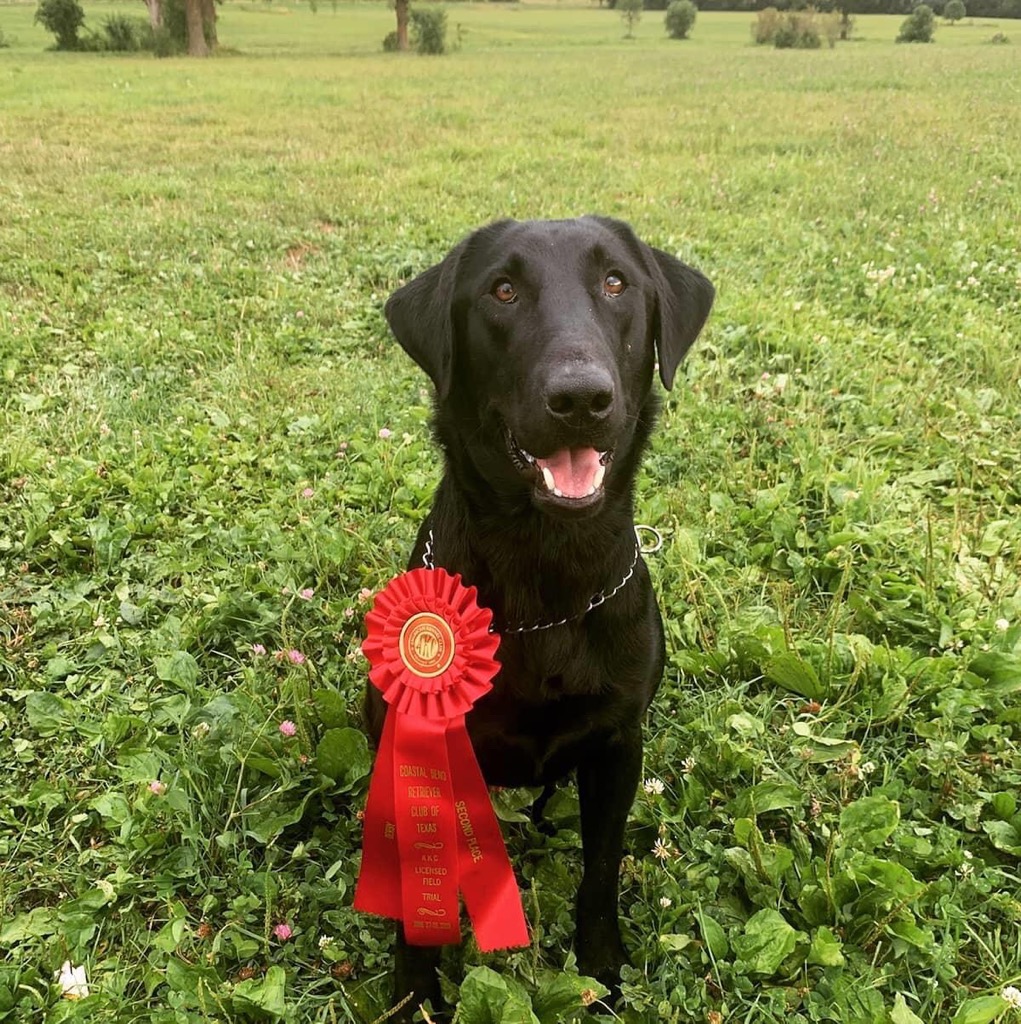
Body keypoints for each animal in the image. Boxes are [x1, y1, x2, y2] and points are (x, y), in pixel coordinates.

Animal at [364, 216, 708, 1015]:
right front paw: (413, 991)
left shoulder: (617, 745)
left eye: (616, 282)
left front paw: (601, 969)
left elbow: (600, 870)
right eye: (502, 290)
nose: (580, 397)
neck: (547, 577)